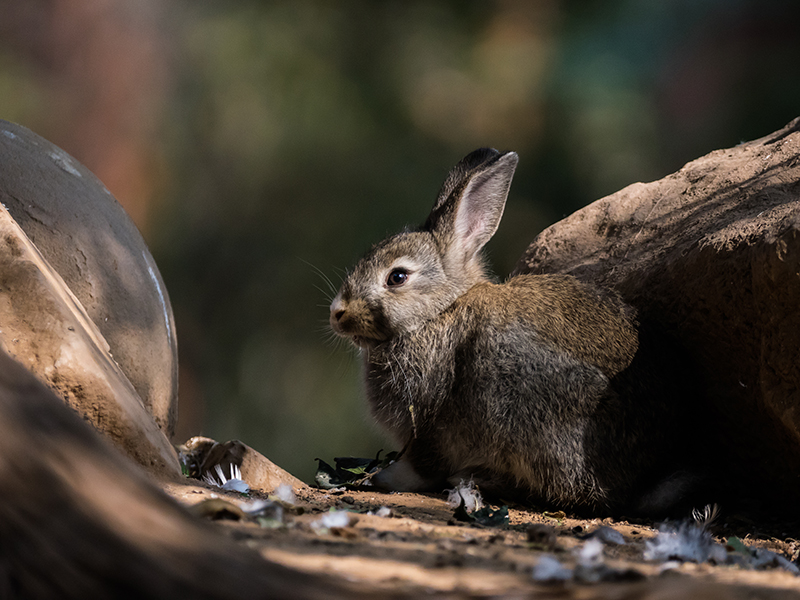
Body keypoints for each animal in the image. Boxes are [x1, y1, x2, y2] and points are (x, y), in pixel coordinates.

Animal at [330, 148, 708, 512]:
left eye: (397, 277)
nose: (338, 313)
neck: (439, 311)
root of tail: (643, 482)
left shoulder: (427, 421)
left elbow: (423, 464)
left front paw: (383, 478)